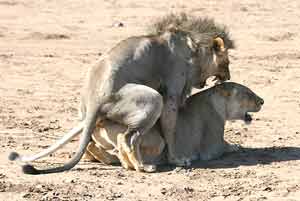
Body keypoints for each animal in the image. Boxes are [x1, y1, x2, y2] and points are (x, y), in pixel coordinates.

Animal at [8, 14, 234, 174]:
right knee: (128, 137)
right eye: (227, 62)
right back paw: (142, 167)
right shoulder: (171, 93)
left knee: (91, 140)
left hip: (87, 112)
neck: (193, 49)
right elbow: (170, 129)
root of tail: (95, 100)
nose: (229, 75)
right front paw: (177, 159)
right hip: (152, 98)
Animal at [84, 81, 262, 170]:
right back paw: (143, 165)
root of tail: (102, 118)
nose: (262, 101)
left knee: (97, 149)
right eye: (247, 93)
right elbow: (225, 146)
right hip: (157, 139)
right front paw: (236, 146)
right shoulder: (211, 147)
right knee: (125, 140)